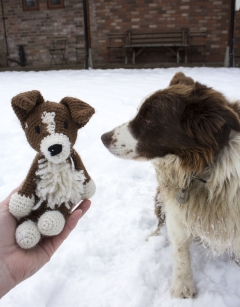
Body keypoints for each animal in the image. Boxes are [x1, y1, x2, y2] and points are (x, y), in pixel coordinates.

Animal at [101, 73, 240, 300]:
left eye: (148, 118)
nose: (103, 137)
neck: (204, 169)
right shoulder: (176, 211)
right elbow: (181, 251)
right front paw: (183, 287)